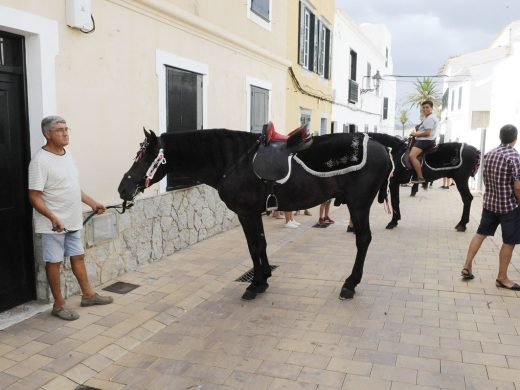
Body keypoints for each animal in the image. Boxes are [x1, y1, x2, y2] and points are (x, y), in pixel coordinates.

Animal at [119, 128, 390, 302]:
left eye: (145, 157)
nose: (123, 188)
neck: (234, 162)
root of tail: (382, 147)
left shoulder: (246, 213)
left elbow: (253, 246)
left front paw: (256, 284)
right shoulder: (256, 213)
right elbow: (261, 243)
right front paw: (265, 278)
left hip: (358, 204)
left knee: (363, 239)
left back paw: (350, 284)